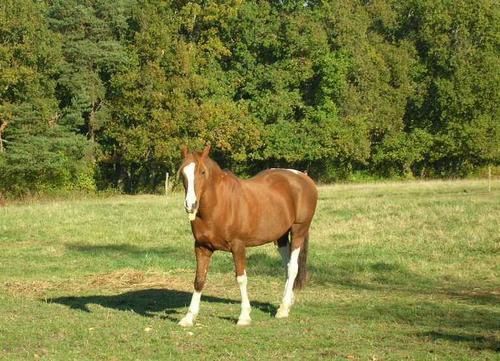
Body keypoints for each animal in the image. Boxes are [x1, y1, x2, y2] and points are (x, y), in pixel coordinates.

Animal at [178, 144, 318, 326]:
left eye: (202, 172)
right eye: (182, 172)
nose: (191, 205)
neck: (219, 205)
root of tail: (303, 177)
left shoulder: (238, 246)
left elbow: (241, 278)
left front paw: (244, 316)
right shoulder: (202, 247)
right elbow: (199, 279)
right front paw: (189, 317)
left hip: (298, 231)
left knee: (293, 267)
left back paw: (282, 309)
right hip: (280, 237)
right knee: (287, 266)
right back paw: (287, 303)